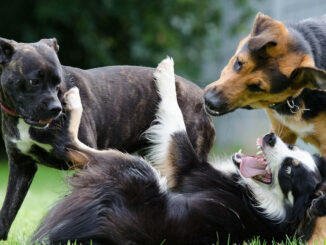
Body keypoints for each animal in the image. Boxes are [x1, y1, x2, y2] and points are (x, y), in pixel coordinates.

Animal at [0, 37, 215, 239]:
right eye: (33, 82)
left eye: (57, 82)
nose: (56, 109)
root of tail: (201, 98)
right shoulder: (21, 166)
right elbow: (8, 208)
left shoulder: (82, 164)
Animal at [32, 58, 326, 244]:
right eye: (292, 147)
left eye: (288, 171)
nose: (271, 137)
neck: (265, 205)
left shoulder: (187, 167)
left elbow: (175, 123)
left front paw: (166, 73)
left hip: (136, 167)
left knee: (71, 144)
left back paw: (73, 101)